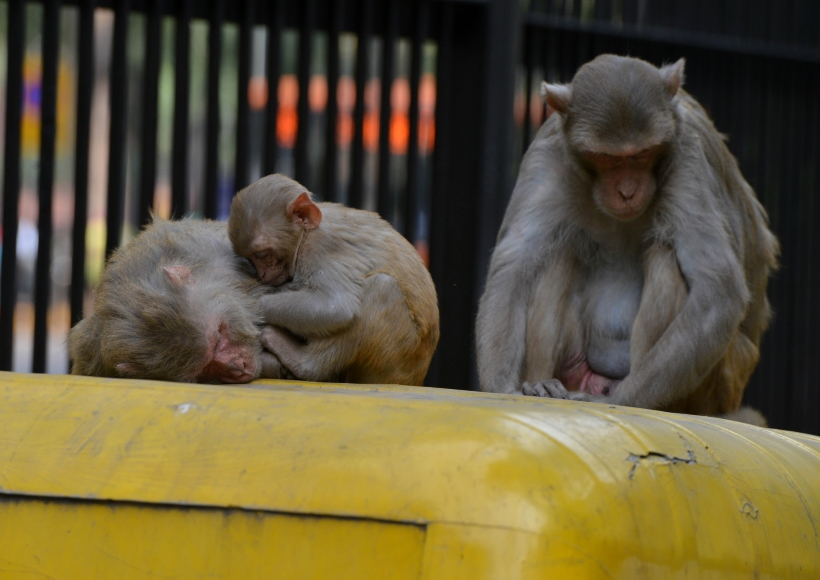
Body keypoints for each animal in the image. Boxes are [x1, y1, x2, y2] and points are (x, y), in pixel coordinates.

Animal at [227, 173, 440, 386]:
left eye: (262, 254)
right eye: (250, 258)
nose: (262, 275)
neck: (307, 234)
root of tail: (415, 377)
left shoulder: (322, 246)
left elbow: (336, 306)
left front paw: (250, 304)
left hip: (397, 359)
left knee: (380, 286)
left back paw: (303, 363)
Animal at [475, 55, 778, 424]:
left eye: (642, 154)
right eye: (607, 158)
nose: (627, 191)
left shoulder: (688, 158)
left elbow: (718, 290)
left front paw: (617, 403)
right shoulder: (548, 151)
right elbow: (514, 264)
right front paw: (502, 388)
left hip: (719, 381)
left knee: (665, 256)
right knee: (557, 255)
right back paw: (542, 384)